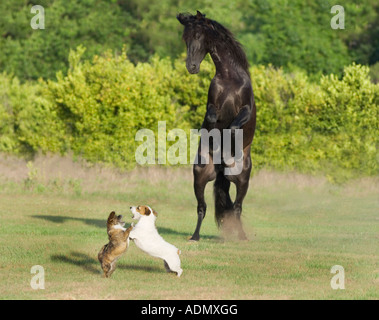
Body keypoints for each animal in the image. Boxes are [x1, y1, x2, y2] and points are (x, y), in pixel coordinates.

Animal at [179, 10, 258, 240]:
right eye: (185, 39)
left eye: (198, 36)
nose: (191, 67)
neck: (230, 78)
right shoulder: (212, 107)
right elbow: (212, 120)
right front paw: (214, 141)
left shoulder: (246, 111)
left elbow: (233, 127)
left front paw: (227, 146)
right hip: (199, 175)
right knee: (202, 207)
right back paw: (195, 237)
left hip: (242, 179)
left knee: (237, 208)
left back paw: (242, 237)